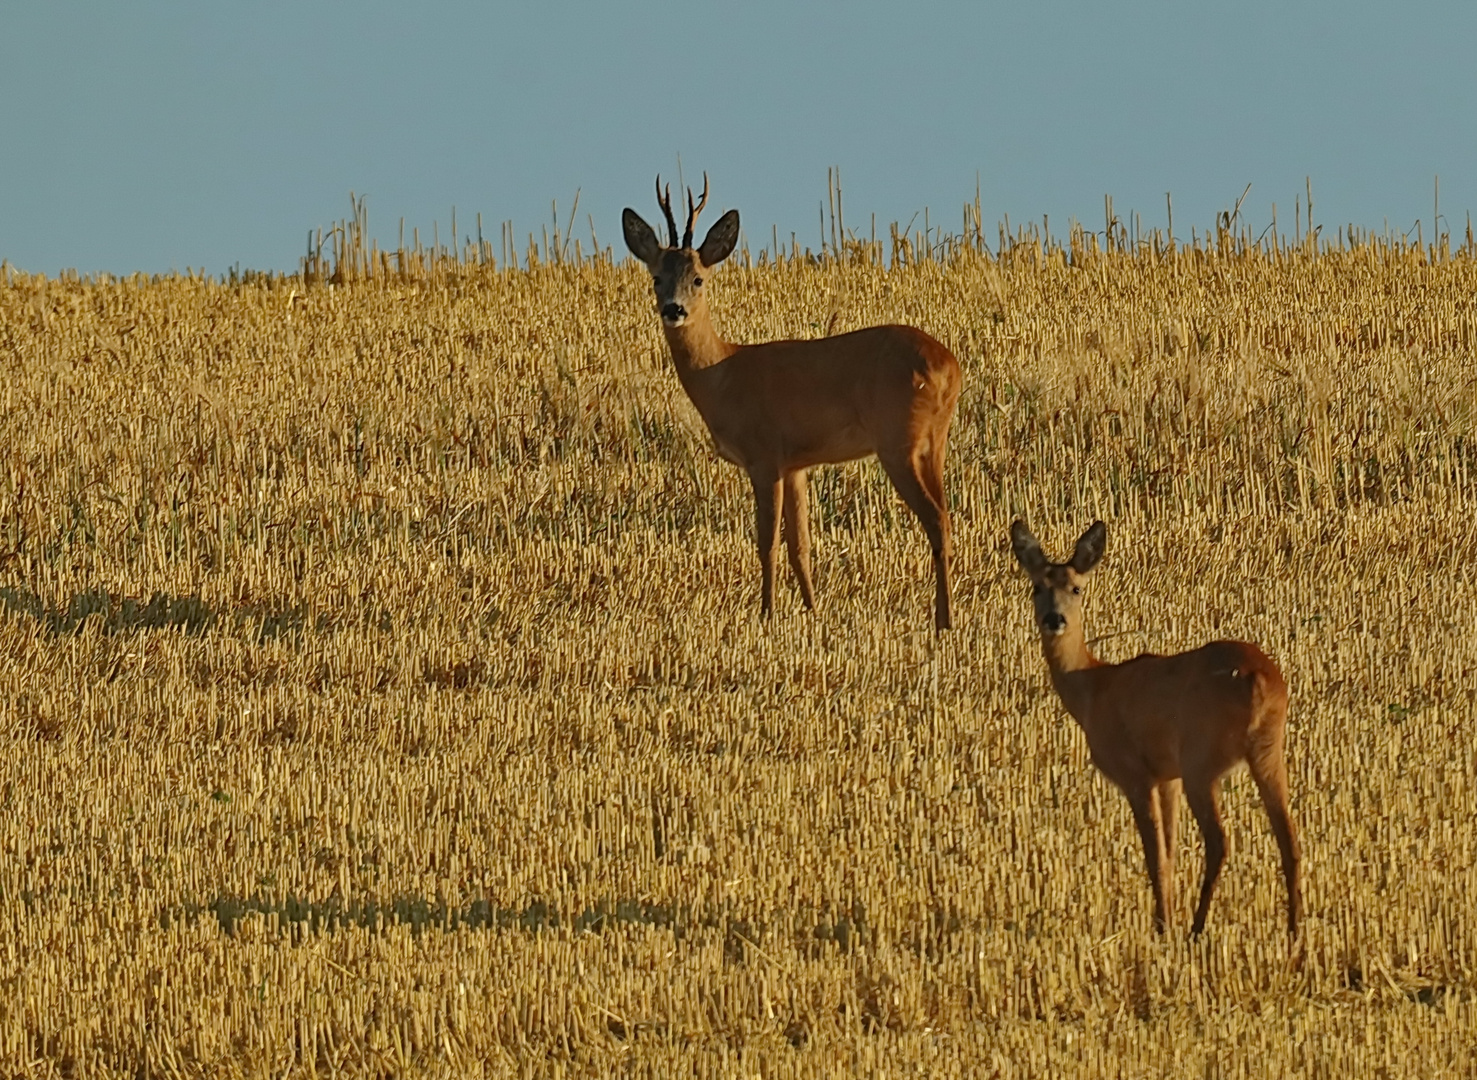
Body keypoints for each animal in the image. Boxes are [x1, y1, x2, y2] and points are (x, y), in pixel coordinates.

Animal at [620, 178, 957, 632]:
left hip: (897, 440)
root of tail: (949, 366)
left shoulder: (764, 456)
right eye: (657, 278)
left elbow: (766, 542)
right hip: (933, 442)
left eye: (698, 279)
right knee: (947, 516)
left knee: (935, 519)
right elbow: (801, 545)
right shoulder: (797, 464)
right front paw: (812, 611)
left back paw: (944, 621)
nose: (674, 309)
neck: (722, 373)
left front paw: (767, 613)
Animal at [1010, 523, 1299, 939]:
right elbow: (1172, 850)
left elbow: (1155, 855)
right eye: (1036, 586)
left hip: (1201, 758)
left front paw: (1162, 927)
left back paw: (1197, 928)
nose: (1054, 619)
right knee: (1289, 839)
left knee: (1219, 841)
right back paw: (1295, 931)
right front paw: (1168, 917)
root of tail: (1259, 680)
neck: (1093, 688)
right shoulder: (1168, 776)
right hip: (1267, 751)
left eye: (1076, 588)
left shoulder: (1137, 773)